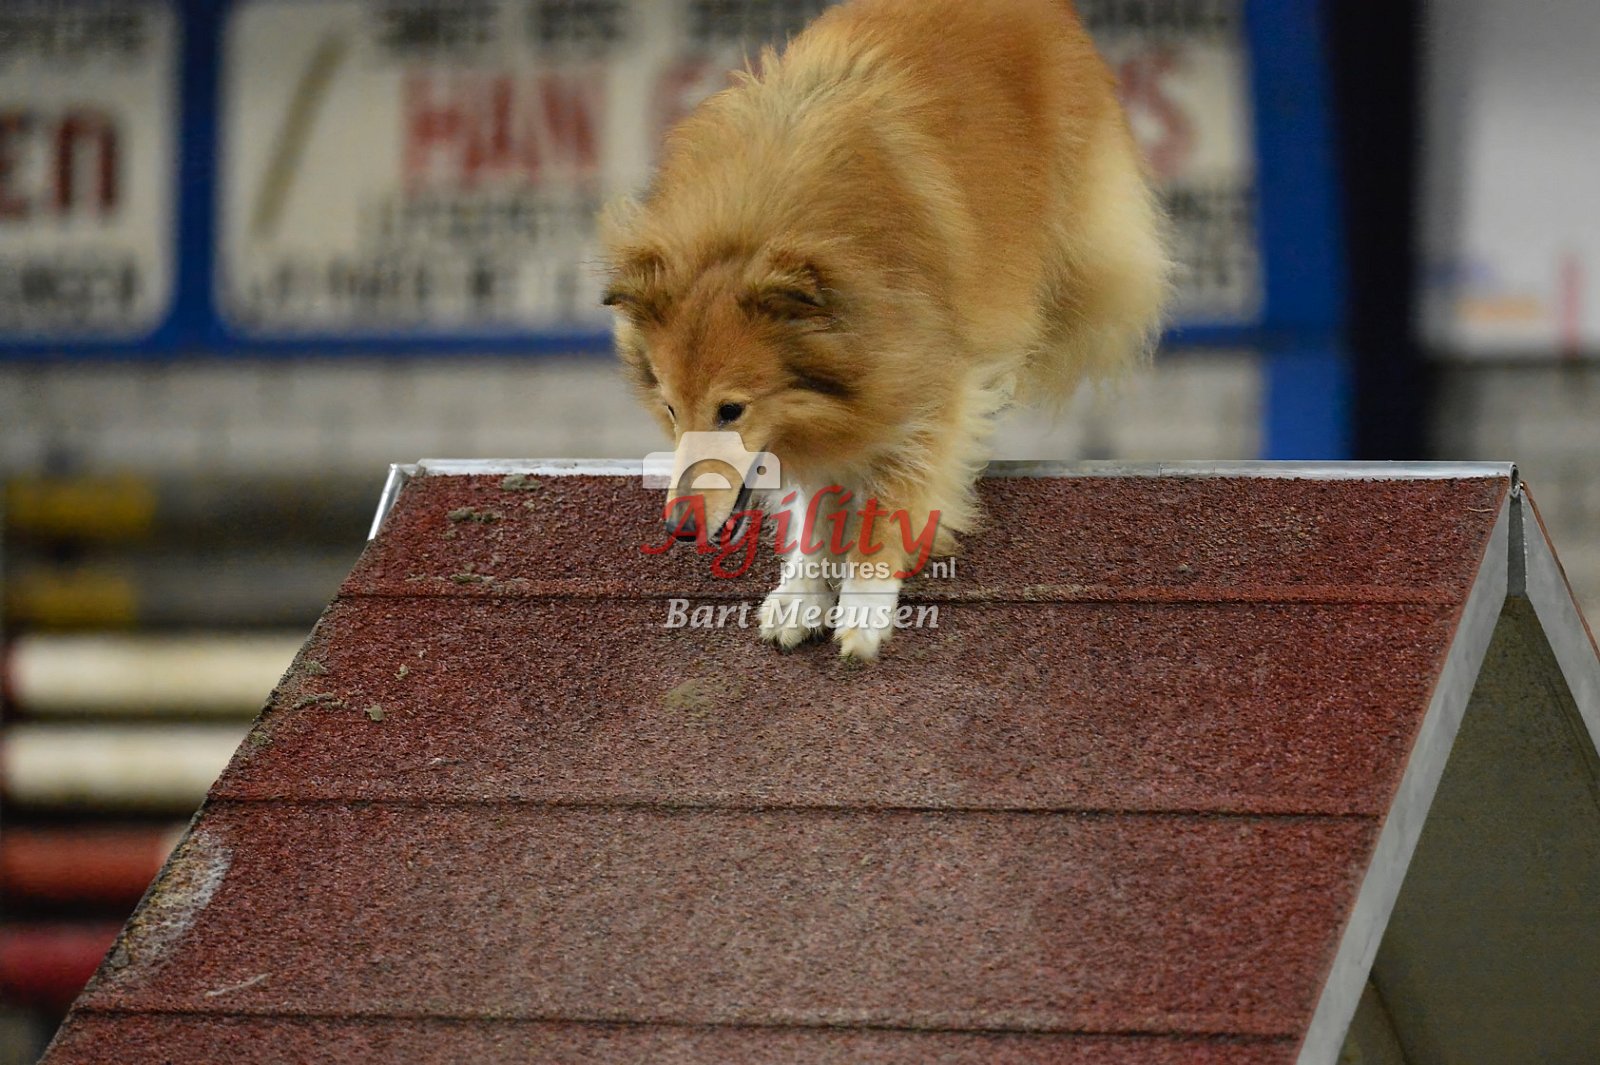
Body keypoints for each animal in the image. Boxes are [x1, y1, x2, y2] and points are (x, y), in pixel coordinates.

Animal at [602, 0, 1169, 661]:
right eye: (669, 408)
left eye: (731, 410)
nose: (681, 530)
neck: (759, 232)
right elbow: (809, 502)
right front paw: (802, 594)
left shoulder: (924, 387)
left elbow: (898, 495)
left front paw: (864, 607)